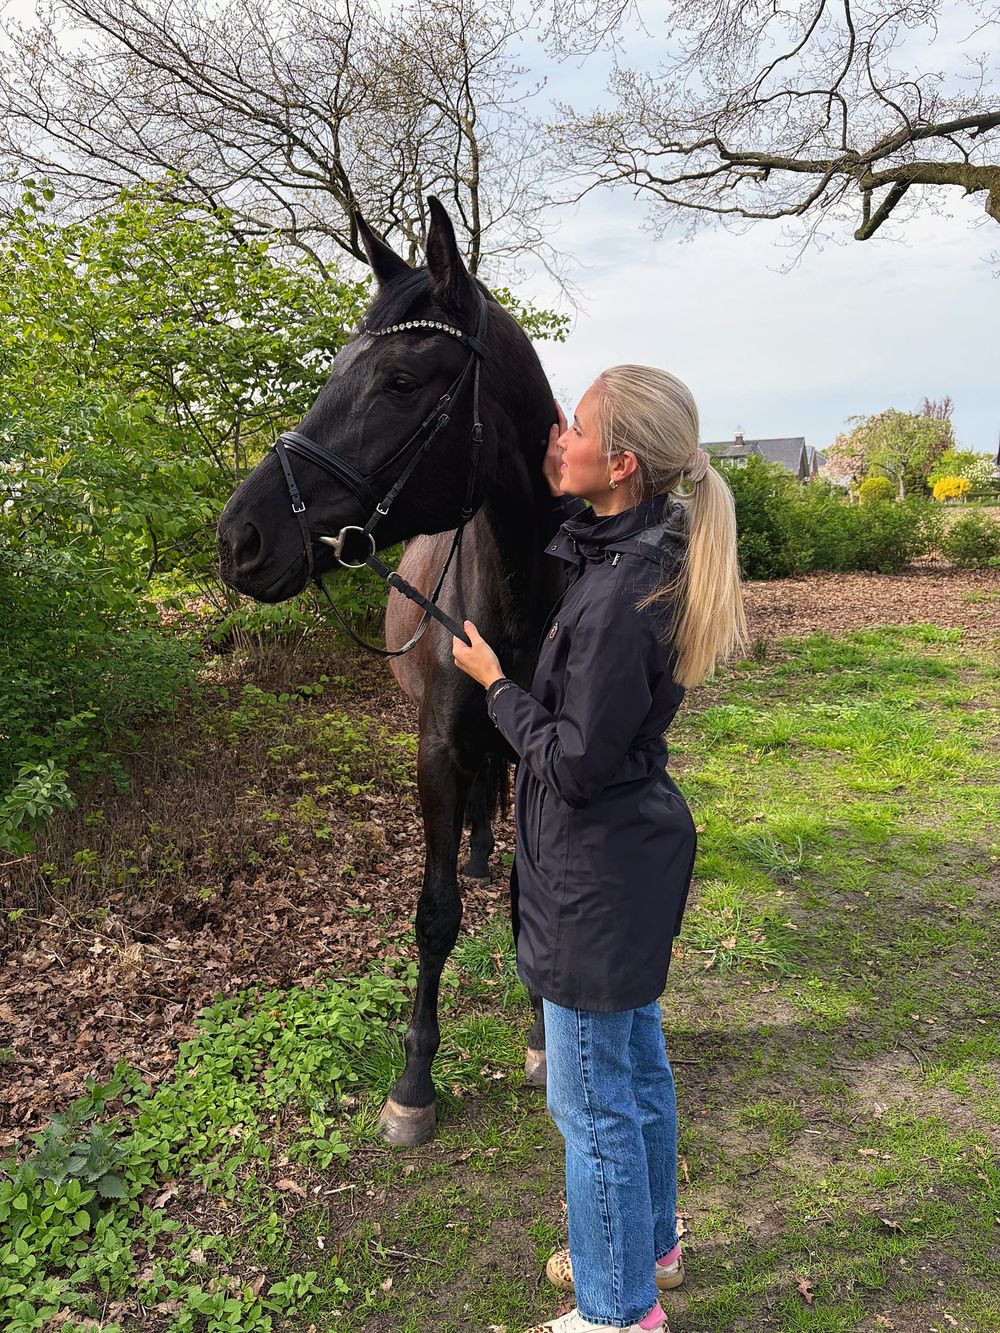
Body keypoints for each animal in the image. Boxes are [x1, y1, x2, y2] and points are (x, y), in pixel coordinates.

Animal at [217, 197, 564, 1145]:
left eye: (402, 381)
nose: (239, 538)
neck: (516, 596)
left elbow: (526, 896)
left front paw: (539, 1036)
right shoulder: (437, 751)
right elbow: (435, 915)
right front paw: (414, 1082)